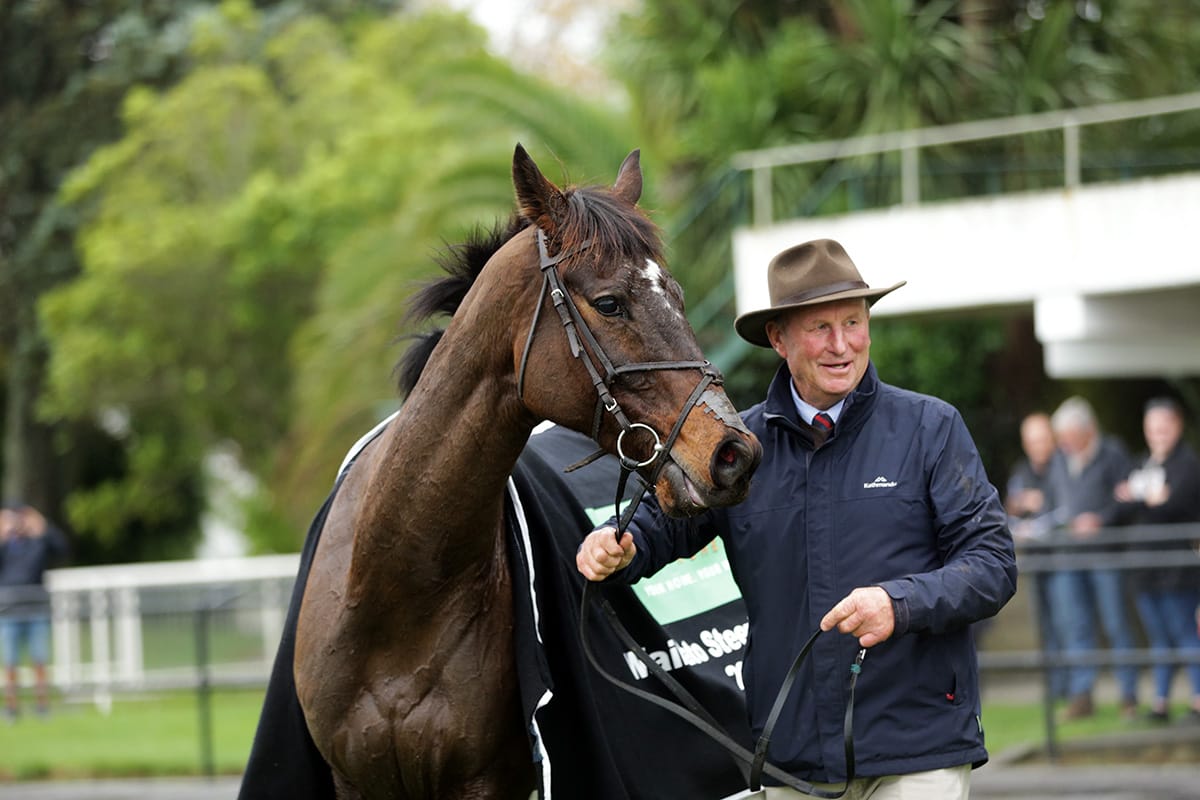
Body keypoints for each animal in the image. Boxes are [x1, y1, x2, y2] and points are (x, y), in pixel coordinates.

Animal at [293, 144, 762, 799]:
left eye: (678, 297)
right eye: (611, 303)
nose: (733, 452)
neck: (397, 598)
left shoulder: (486, 781)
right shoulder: (353, 781)